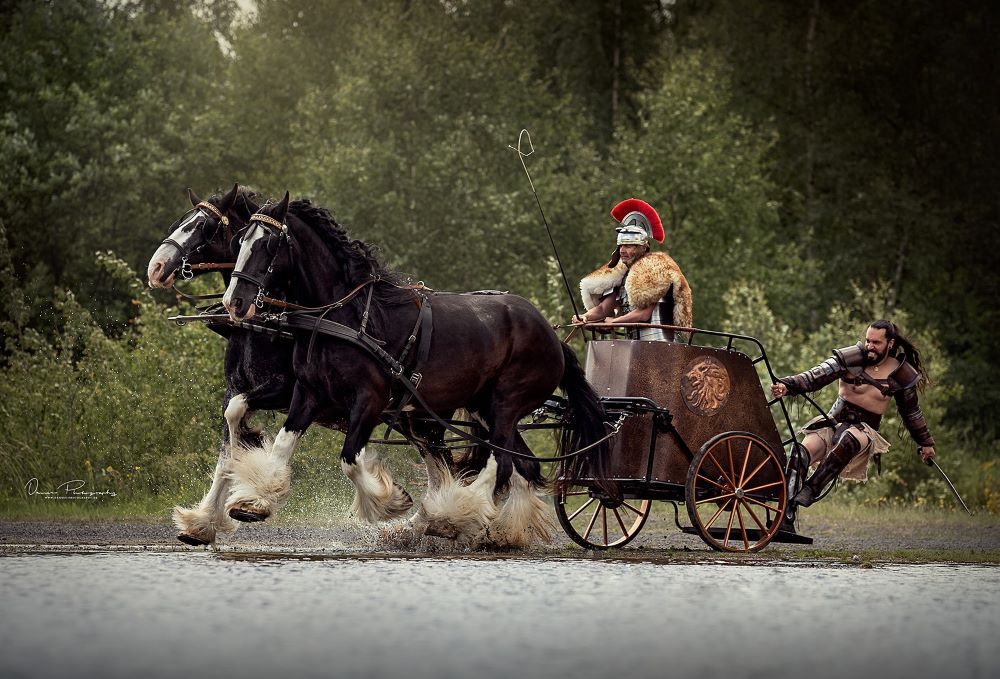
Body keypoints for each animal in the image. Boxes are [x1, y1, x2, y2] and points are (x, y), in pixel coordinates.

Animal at [221, 194, 608, 544]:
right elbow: (275, 438)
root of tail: (552, 337)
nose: (234, 302)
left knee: (500, 461)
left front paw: (389, 503)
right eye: (239, 240)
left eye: (269, 243)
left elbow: (349, 459)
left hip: (506, 403)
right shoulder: (309, 391)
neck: (344, 315)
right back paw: (499, 531)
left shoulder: (370, 399)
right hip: (484, 408)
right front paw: (252, 503)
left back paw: (456, 515)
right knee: (523, 465)